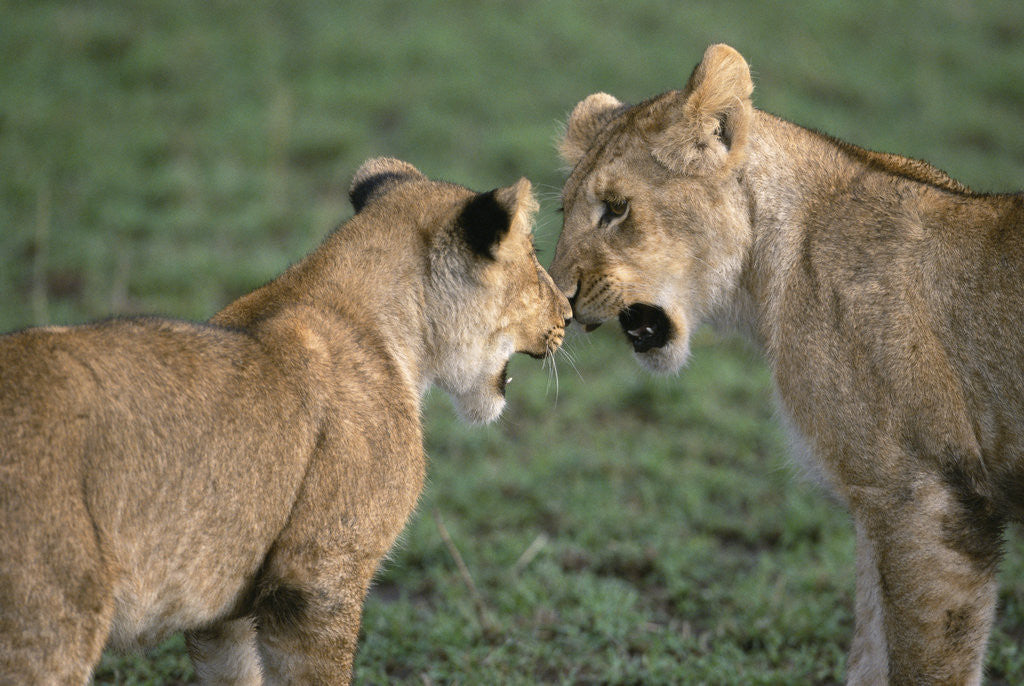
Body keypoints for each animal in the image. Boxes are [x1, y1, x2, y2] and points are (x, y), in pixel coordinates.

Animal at [550, 43, 1024, 685]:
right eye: (564, 209)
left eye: (616, 208)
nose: (560, 299)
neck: (771, 269)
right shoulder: (881, 509)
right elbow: (869, 654)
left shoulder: (927, 500)